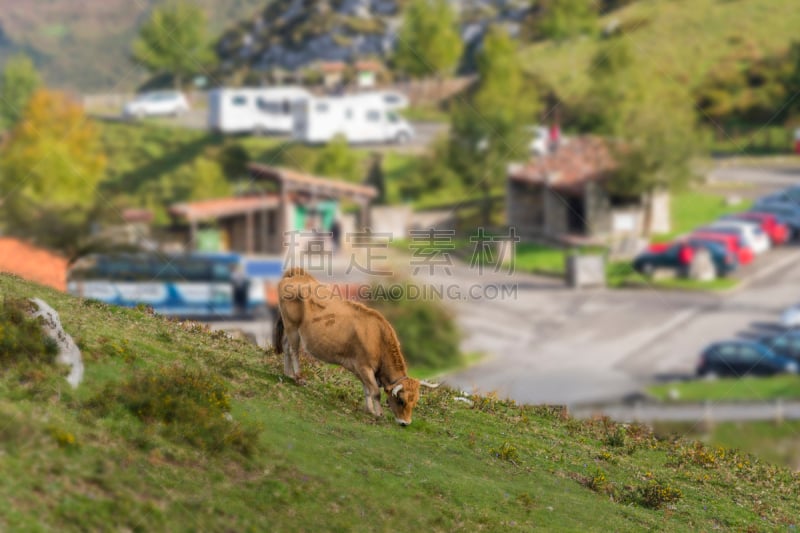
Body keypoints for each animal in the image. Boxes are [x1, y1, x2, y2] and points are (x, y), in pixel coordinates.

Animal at [274, 268, 438, 426]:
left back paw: (288, 374)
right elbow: (375, 391)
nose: (405, 423)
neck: (378, 338)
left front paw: (369, 409)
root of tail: (299, 274)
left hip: (289, 327)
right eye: (401, 400)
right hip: (292, 326)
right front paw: (379, 414)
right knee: (293, 351)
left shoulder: (360, 369)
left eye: (414, 402)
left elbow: (367, 389)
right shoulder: (364, 366)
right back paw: (298, 377)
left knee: (286, 346)